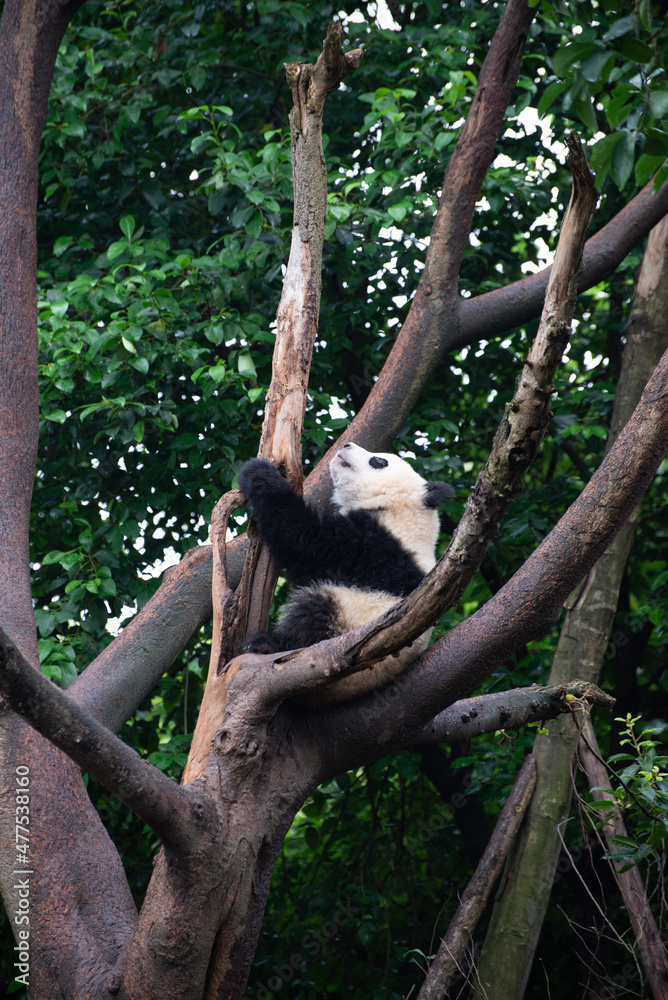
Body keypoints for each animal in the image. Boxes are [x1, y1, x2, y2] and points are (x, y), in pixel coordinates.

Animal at [238, 442, 454, 703]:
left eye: (378, 461)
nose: (347, 444)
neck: (402, 511)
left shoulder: (373, 546)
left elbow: (305, 540)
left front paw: (258, 471)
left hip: (349, 617)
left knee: (314, 614)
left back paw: (267, 644)